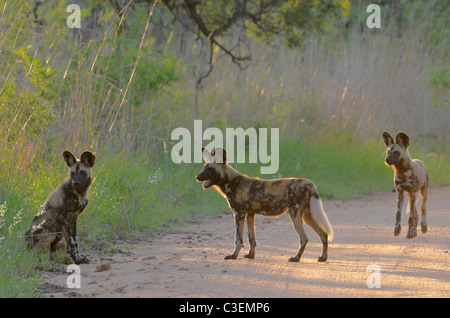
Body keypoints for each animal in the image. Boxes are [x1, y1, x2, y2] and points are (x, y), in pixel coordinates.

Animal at [197, 148, 334, 262]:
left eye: (210, 169)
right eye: (204, 168)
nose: (197, 177)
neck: (230, 182)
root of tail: (309, 183)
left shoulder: (239, 214)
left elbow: (238, 239)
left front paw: (233, 256)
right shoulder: (249, 215)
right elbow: (251, 239)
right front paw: (250, 255)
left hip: (294, 215)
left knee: (304, 238)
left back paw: (296, 258)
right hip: (307, 217)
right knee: (323, 234)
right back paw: (323, 258)